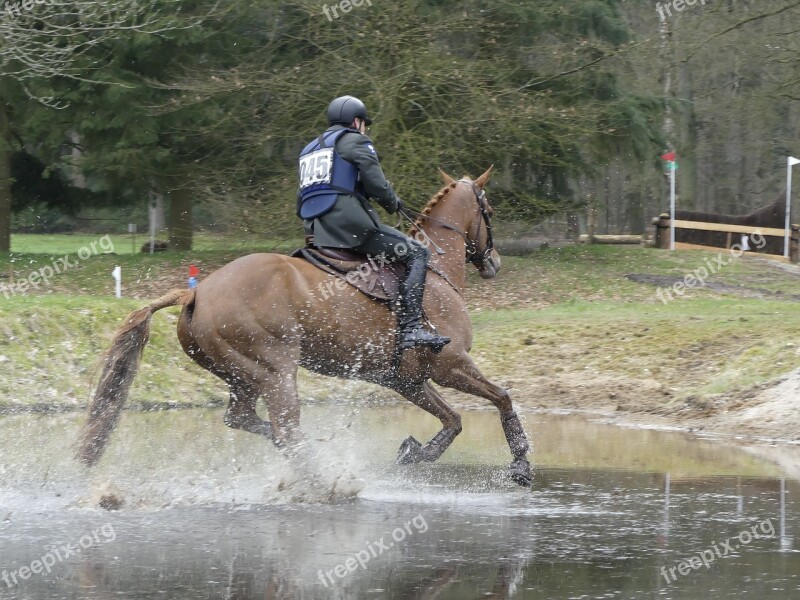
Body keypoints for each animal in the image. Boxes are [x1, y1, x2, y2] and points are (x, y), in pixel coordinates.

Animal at [75, 165, 536, 488]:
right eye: (490, 211)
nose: (494, 263)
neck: (435, 269)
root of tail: (197, 293)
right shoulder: (450, 364)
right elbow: (502, 398)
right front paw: (520, 464)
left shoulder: (407, 380)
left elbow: (453, 421)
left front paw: (414, 452)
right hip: (276, 370)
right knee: (285, 429)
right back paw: (327, 482)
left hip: (241, 374)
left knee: (246, 421)